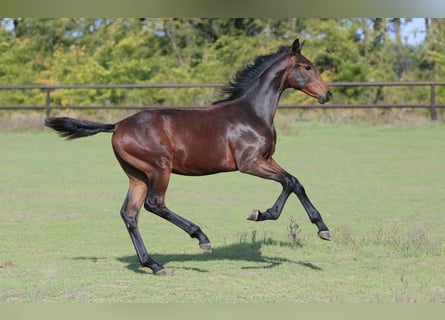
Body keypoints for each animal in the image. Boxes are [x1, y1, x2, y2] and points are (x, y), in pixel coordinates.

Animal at [46, 38, 330, 276]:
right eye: (307, 67)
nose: (327, 94)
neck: (251, 113)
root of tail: (117, 126)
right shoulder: (250, 163)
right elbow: (290, 181)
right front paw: (269, 216)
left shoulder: (267, 159)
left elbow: (294, 182)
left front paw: (301, 223)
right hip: (159, 169)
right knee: (154, 204)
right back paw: (201, 238)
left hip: (137, 175)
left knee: (130, 213)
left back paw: (154, 265)